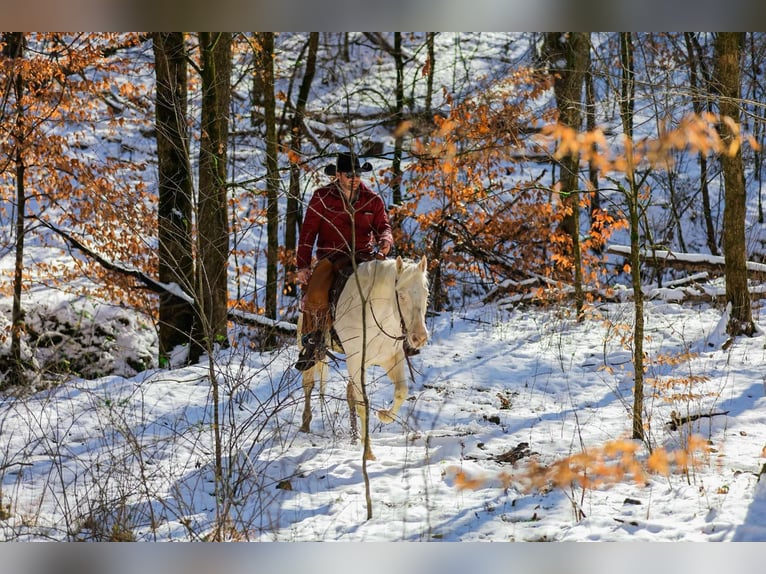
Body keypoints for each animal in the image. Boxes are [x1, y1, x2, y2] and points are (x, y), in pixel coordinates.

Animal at [300, 258, 432, 462]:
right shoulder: (355, 361)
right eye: (401, 295)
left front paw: (384, 416)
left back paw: (354, 436)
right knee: (308, 384)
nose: (420, 337)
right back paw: (306, 424)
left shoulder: (392, 359)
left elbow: (401, 392)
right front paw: (368, 451)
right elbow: (363, 403)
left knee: (349, 393)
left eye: (426, 293)